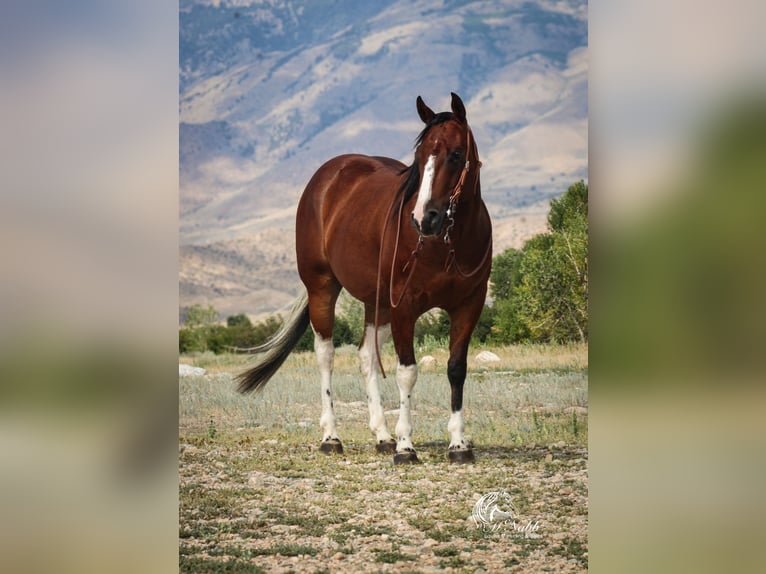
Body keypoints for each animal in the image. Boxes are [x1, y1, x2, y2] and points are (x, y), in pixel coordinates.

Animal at [236, 92, 492, 464]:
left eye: (456, 155)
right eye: (418, 157)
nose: (424, 218)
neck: (447, 244)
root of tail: (327, 176)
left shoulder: (468, 305)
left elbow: (456, 369)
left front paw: (458, 444)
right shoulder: (405, 307)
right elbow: (407, 372)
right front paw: (406, 446)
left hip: (377, 302)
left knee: (366, 357)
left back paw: (382, 435)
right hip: (323, 287)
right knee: (326, 355)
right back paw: (331, 437)